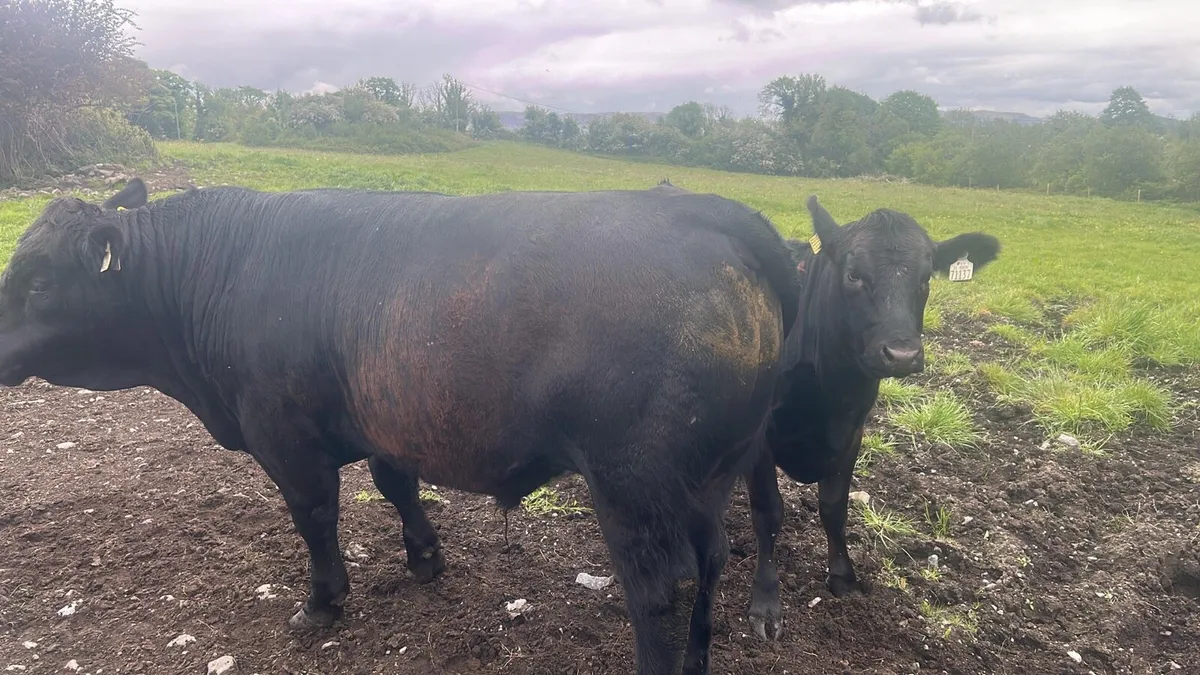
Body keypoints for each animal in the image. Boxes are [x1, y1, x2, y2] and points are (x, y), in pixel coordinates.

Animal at [0, 178, 801, 675]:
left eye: (38, 280)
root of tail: (710, 211)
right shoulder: (386, 418)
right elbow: (396, 485)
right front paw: (425, 557)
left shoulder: (283, 433)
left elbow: (316, 516)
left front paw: (323, 602)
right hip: (708, 476)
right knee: (712, 562)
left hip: (635, 483)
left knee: (658, 588)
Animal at [743, 195, 1001, 641]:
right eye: (853, 275)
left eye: (926, 278)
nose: (901, 354)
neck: (828, 393)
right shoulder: (761, 435)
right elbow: (769, 510)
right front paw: (766, 603)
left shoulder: (853, 431)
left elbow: (834, 507)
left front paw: (843, 579)